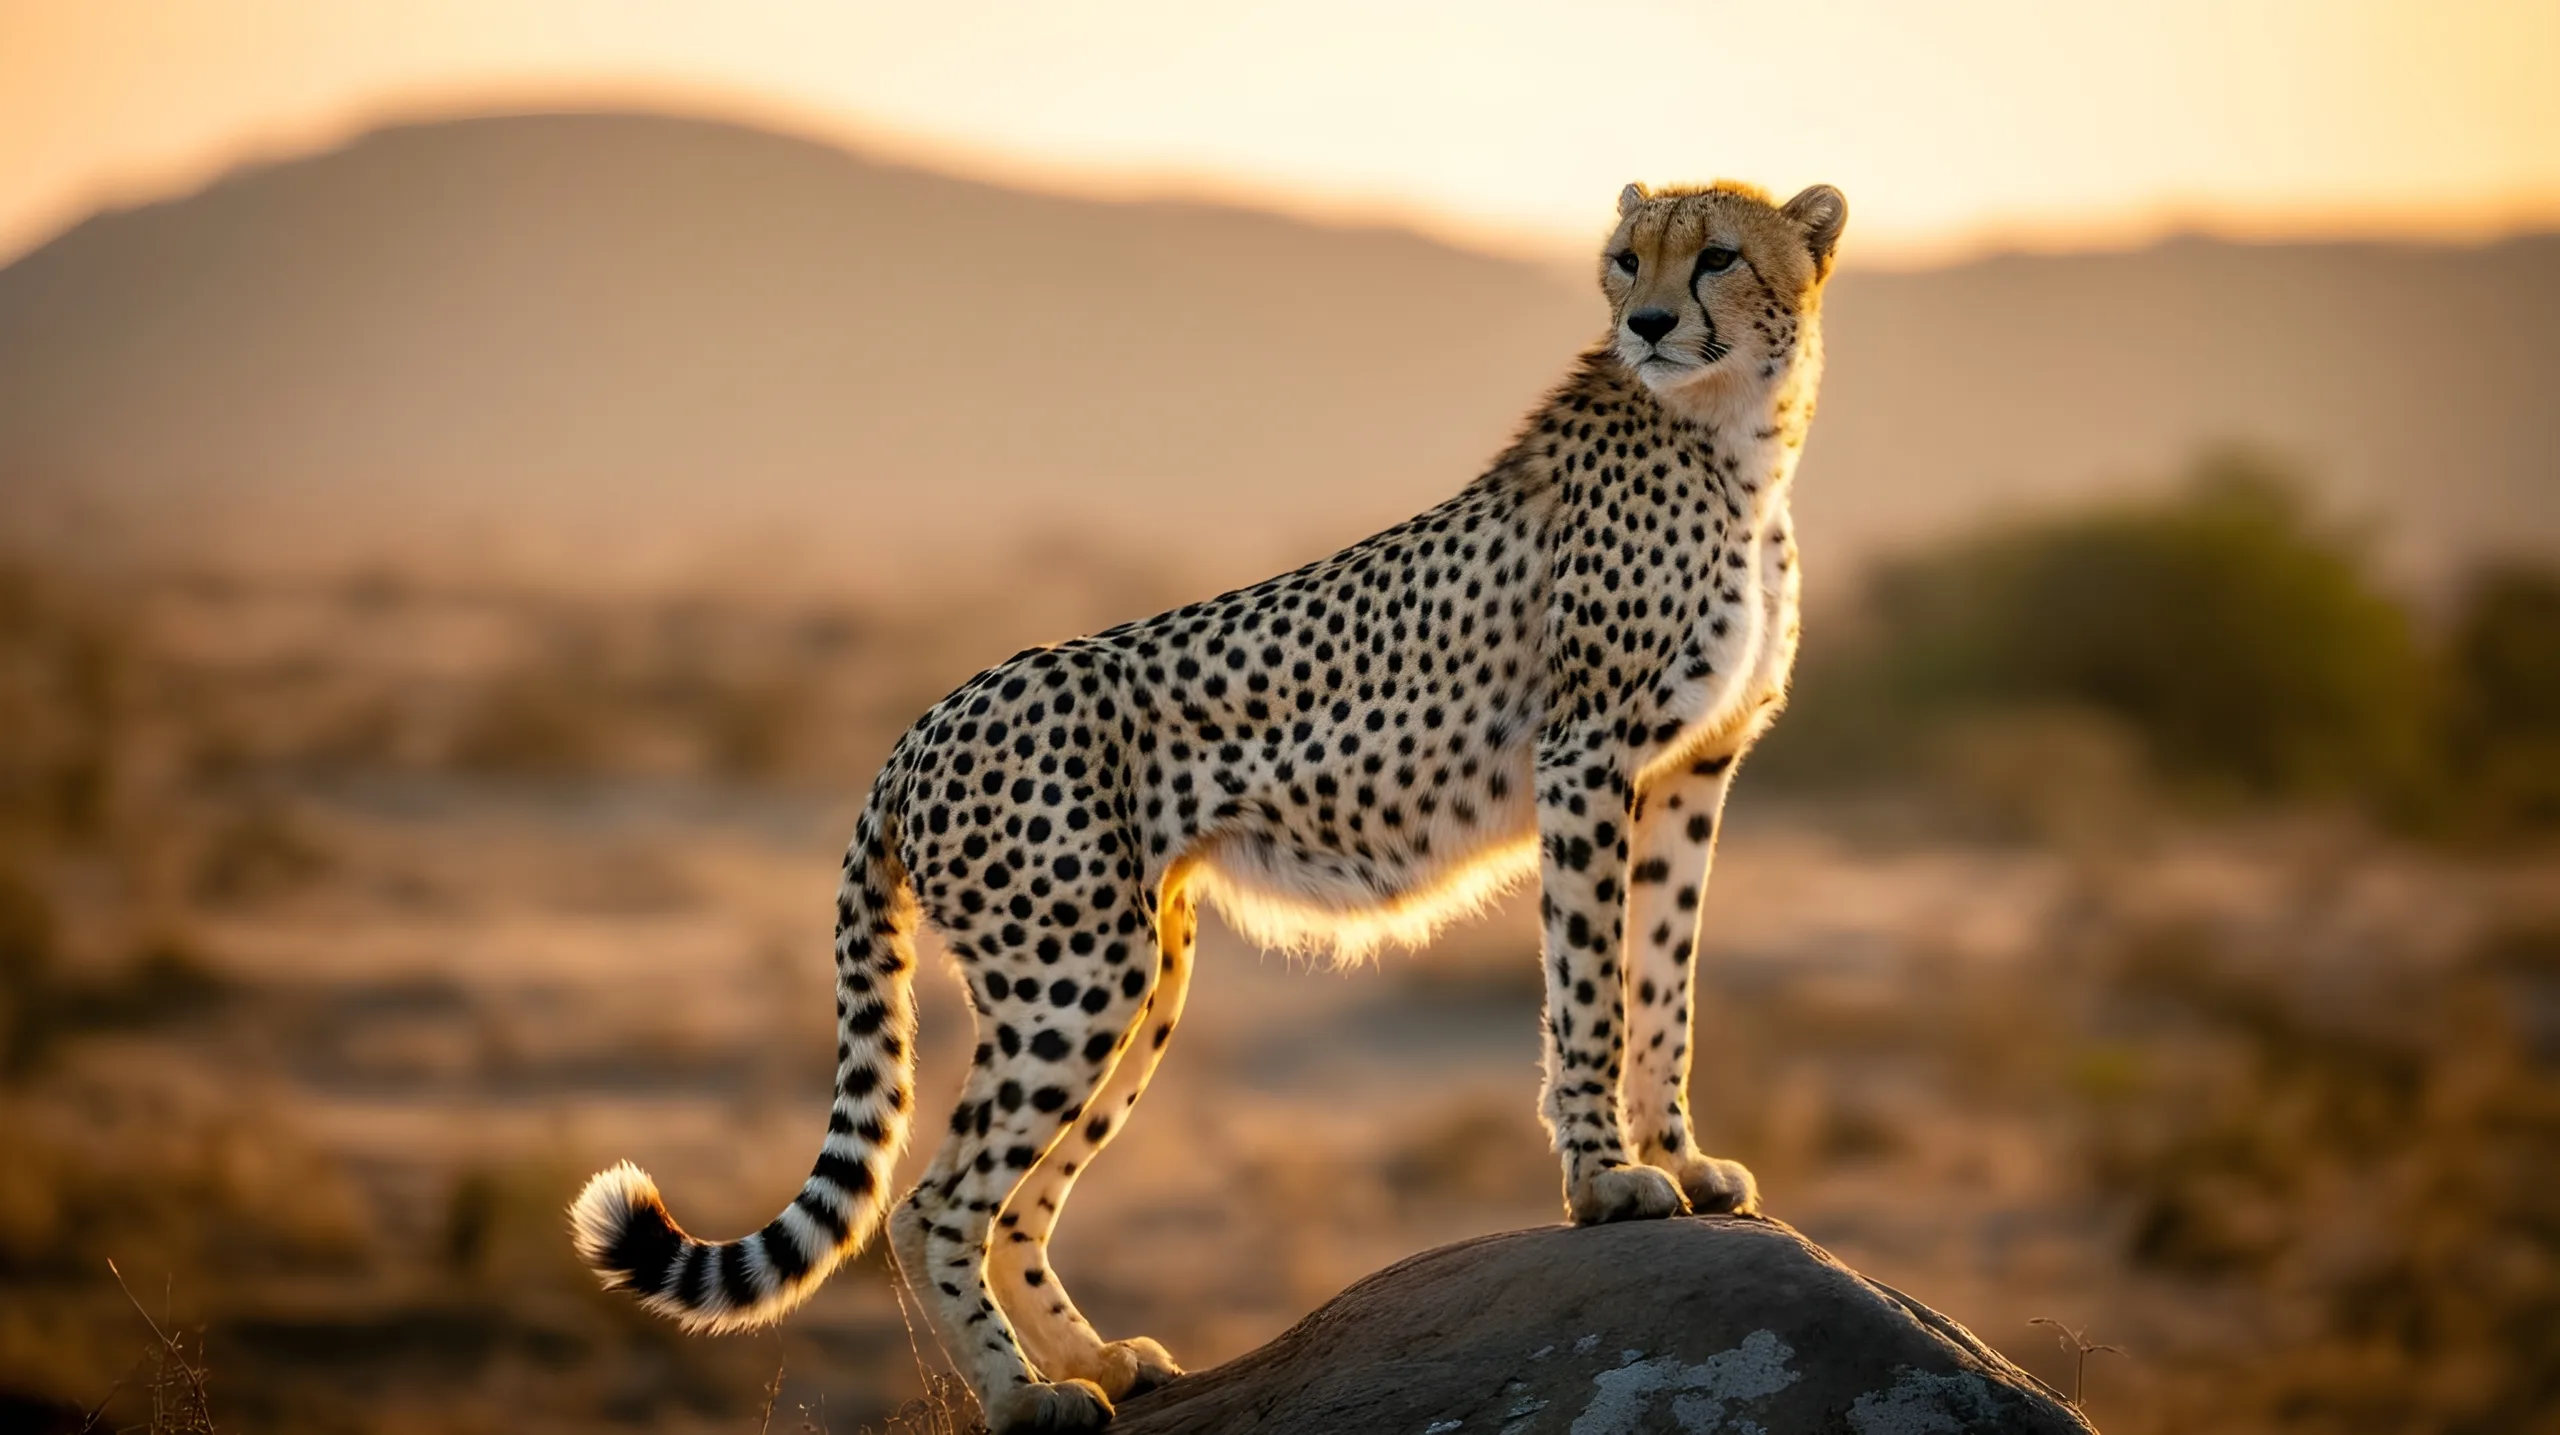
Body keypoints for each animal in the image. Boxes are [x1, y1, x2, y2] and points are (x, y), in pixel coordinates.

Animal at [570, 177, 1848, 1433]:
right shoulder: (1586, 756)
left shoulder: (1690, 770)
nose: (1648, 324)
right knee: (932, 1200)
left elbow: (1663, 983)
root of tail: (924, 722)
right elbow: (1590, 987)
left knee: (1016, 1199)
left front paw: (1684, 1161)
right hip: (1075, 972)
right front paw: (1604, 1180)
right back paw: (1023, 1397)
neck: (1734, 440)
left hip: (1142, 971)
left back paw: (1099, 1359)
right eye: (1627, 260)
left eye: (1719, 255)